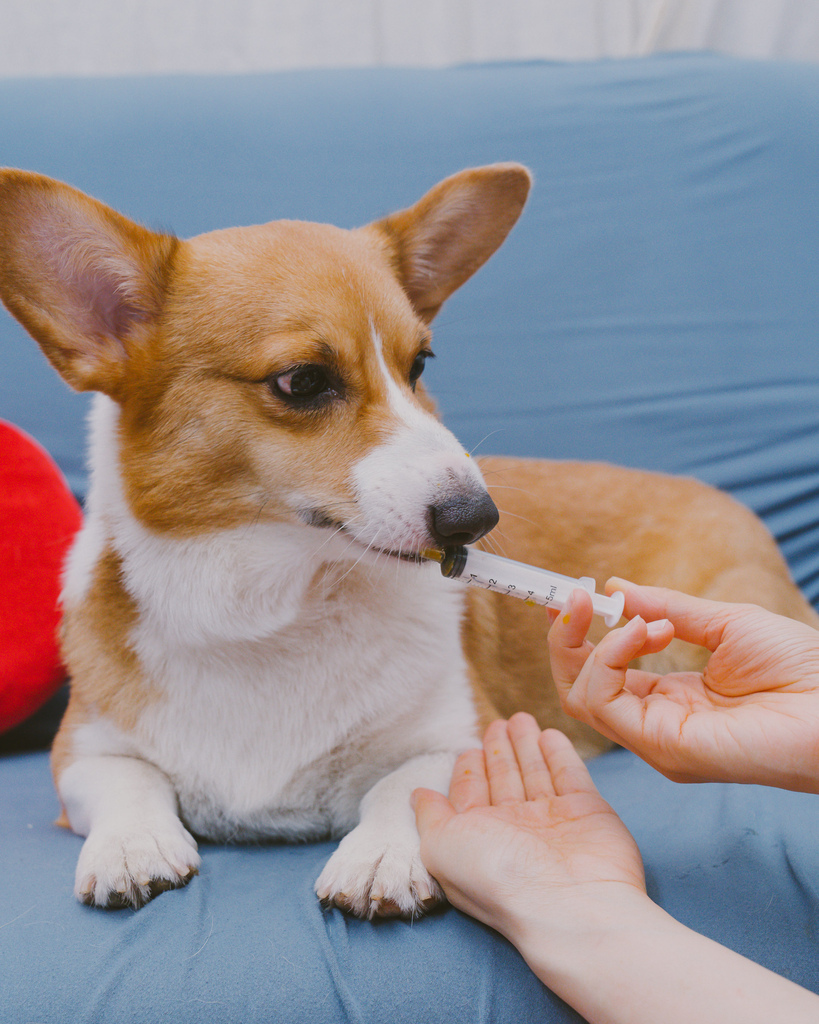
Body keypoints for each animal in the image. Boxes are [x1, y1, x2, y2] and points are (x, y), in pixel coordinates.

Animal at [3, 163, 814, 917]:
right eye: (302, 381)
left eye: (418, 364)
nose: (477, 519)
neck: (268, 612)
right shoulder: (80, 752)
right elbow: (128, 779)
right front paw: (132, 845)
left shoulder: (461, 736)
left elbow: (401, 786)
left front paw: (381, 857)